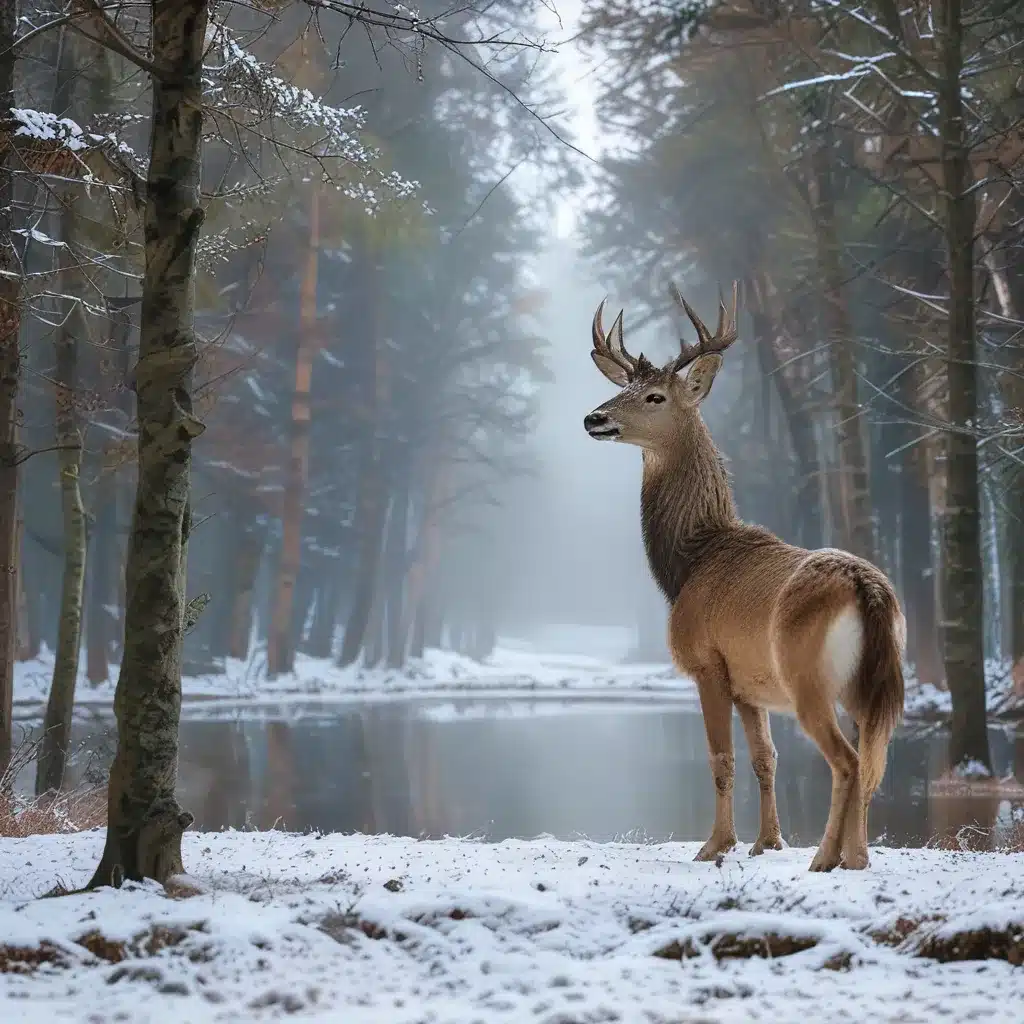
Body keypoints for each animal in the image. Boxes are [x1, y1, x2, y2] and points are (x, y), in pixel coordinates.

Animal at [585, 282, 905, 872]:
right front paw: (767, 842)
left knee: (847, 760)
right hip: (873, 680)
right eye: (626, 387)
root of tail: (867, 590)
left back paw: (824, 857)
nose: (594, 417)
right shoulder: (750, 685)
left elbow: (721, 757)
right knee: (872, 758)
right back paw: (856, 857)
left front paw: (715, 845)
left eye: (655, 396)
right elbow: (765, 757)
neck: (690, 562)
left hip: (808, 677)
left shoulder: (707, 663)